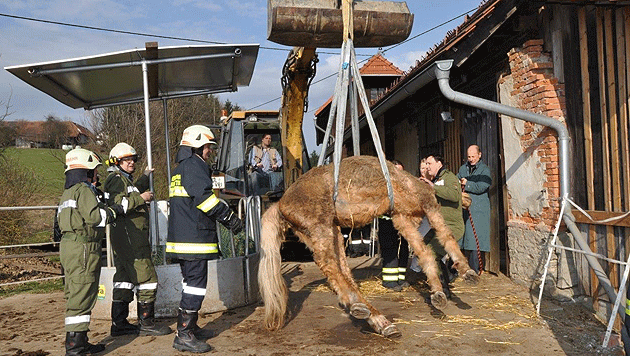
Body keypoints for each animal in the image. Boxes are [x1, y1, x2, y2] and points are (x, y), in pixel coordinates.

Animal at [260, 155, 482, 336]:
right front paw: (467, 272)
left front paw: (437, 294)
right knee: (329, 264)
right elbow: (445, 235)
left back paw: (375, 318)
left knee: (341, 272)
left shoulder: (401, 218)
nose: (467, 198)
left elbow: (424, 253)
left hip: (329, 233)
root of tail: (280, 204)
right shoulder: (426, 204)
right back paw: (370, 314)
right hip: (320, 227)